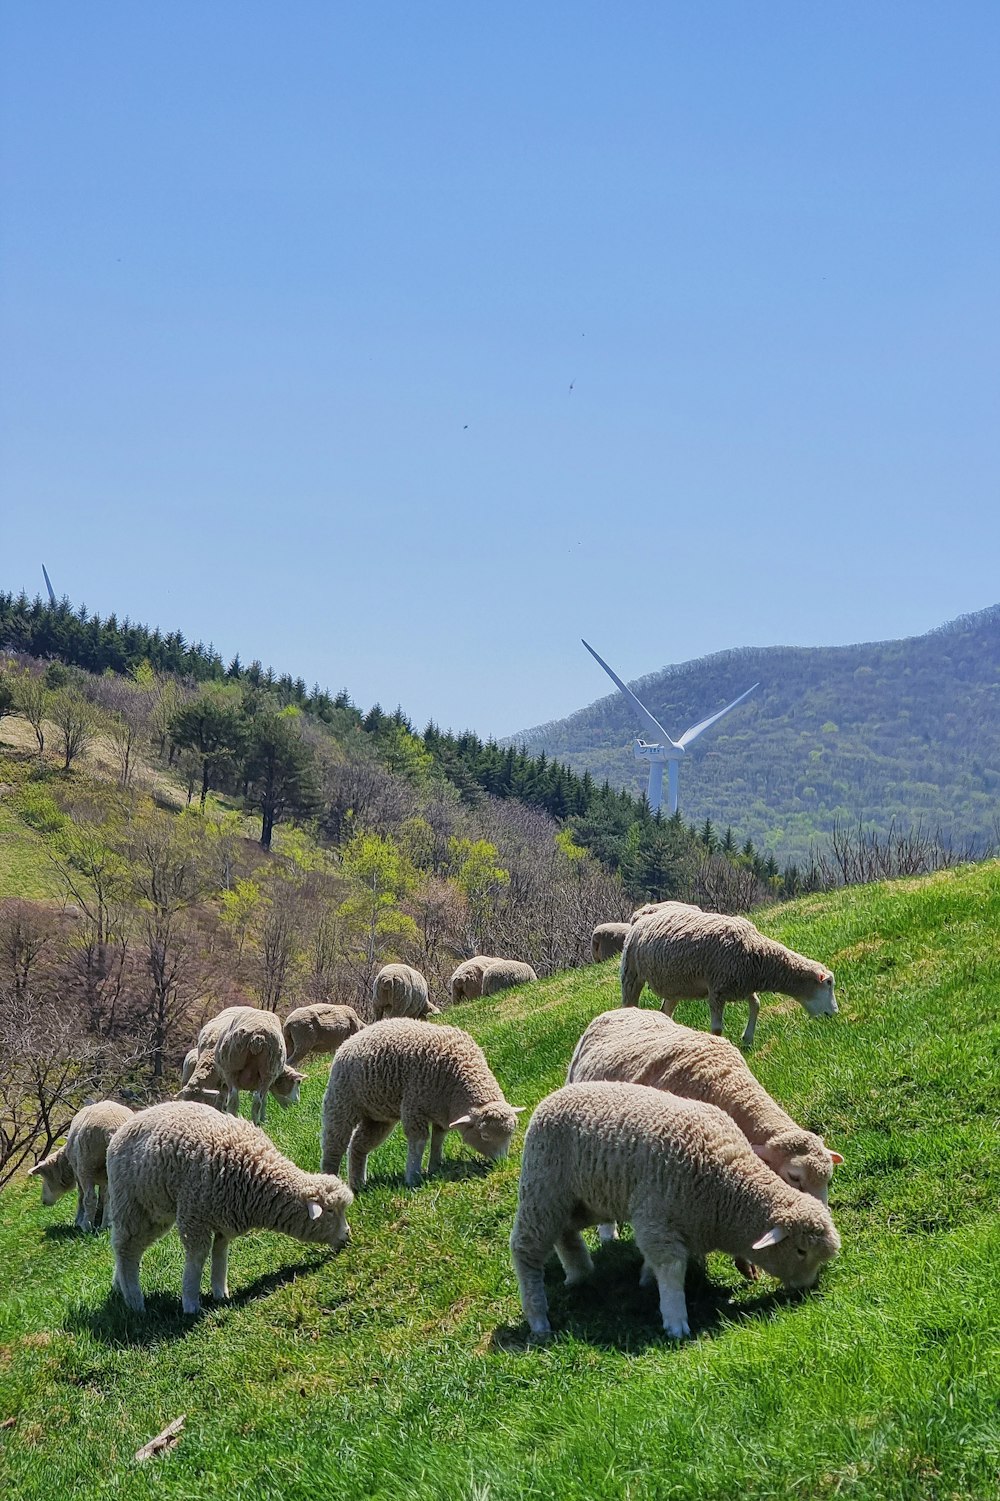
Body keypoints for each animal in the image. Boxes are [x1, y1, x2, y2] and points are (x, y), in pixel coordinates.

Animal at [105, 1104, 352, 1314]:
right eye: (330, 1211)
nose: (348, 1236)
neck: (257, 1173)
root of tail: (123, 1128)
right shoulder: (194, 1214)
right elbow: (197, 1257)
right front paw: (190, 1303)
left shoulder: (225, 1215)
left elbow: (220, 1253)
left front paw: (219, 1292)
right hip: (132, 1204)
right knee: (125, 1248)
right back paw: (135, 1302)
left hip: (155, 1211)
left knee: (130, 1248)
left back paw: (120, 1286)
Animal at [321, 1014, 525, 1188]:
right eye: (485, 1136)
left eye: (510, 1134)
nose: (501, 1163)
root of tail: (351, 1039)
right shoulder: (414, 1106)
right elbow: (418, 1141)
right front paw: (413, 1177)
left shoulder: (441, 1110)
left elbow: (438, 1138)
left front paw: (435, 1166)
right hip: (341, 1101)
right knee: (334, 1145)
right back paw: (331, 1180)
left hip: (378, 1116)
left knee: (358, 1144)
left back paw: (358, 1184)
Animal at [510, 1080, 834, 1338]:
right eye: (801, 1251)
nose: (808, 1288)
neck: (728, 1187)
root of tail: (552, 1096)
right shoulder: (657, 1217)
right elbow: (671, 1268)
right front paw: (675, 1321)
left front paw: (646, 1279)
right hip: (543, 1186)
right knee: (526, 1247)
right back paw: (538, 1318)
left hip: (584, 1199)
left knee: (564, 1232)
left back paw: (579, 1274)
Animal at [615, 900, 834, 1044]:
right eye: (828, 984)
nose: (833, 1014)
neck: (757, 953)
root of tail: (642, 915)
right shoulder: (718, 988)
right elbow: (717, 1029)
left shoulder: (741, 984)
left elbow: (756, 1004)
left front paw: (747, 1038)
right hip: (631, 973)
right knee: (629, 1003)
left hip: (674, 983)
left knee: (666, 1010)